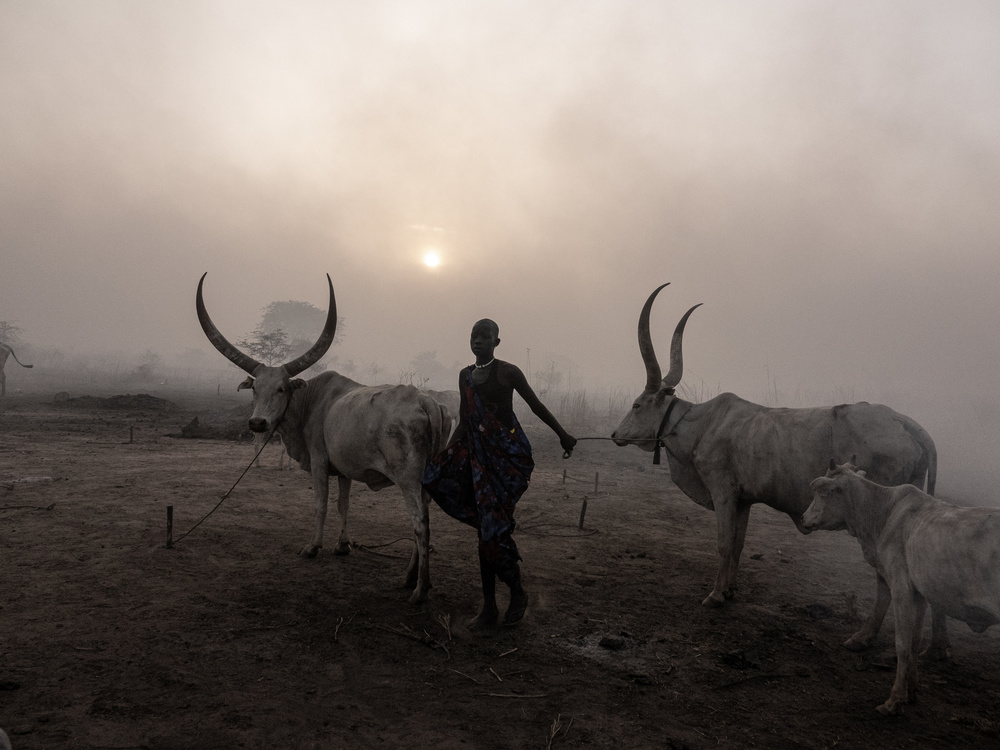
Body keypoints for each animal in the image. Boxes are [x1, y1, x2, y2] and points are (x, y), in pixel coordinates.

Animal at [196, 274, 454, 604]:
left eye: (281, 388)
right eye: (255, 389)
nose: (257, 422)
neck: (311, 402)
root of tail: (428, 402)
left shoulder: (319, 462)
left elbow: (321, 503)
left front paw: (312, 547)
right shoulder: (343, 469)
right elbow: (344, 504)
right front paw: (342, 545)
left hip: (409, 479)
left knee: (420, 524)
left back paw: (420, 589)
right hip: (426, 481)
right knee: (426, 522)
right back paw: (411, 578)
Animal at [800, 464, 1000, 716]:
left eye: (821, 491)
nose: (803, 517)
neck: (883, 514)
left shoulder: (900, 587)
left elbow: (902, 645)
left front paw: (894, 700)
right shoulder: (919, 593)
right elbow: (915, 641)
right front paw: (911, 690)